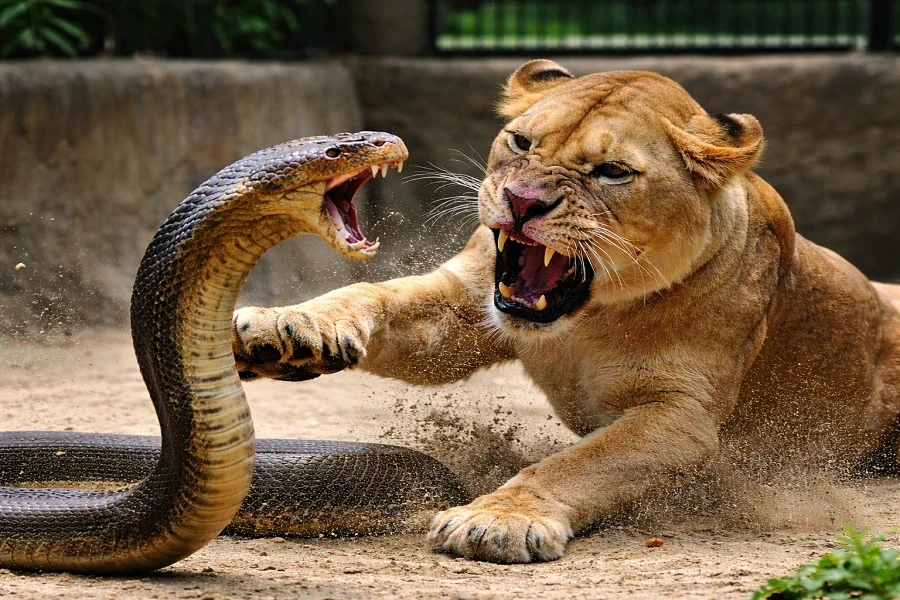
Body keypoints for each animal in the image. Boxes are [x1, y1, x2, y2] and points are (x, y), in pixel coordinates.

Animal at [231, 60, 900, 563]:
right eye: (521, 142)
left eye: (612, 172)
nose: (522, 201)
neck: (590, 318)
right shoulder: (462, 307)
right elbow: (371, 296)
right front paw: (284, 327)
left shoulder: (679, 416)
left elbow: (574, 464)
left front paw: (497, 520)